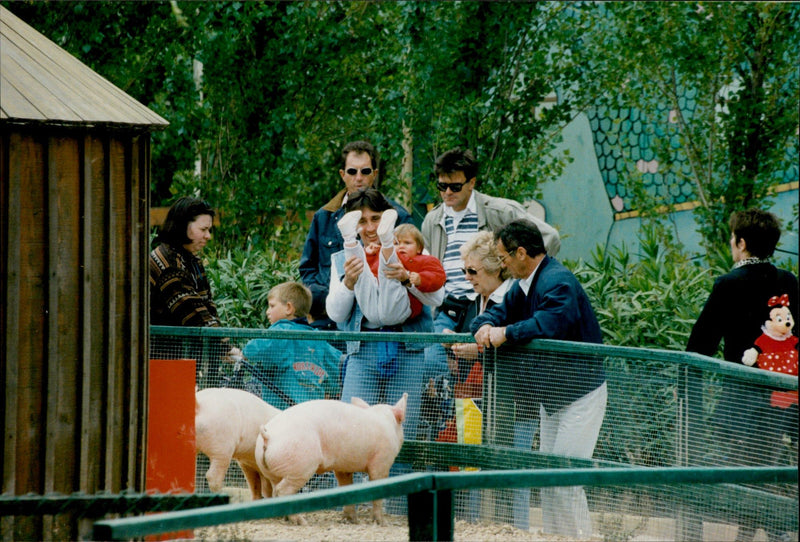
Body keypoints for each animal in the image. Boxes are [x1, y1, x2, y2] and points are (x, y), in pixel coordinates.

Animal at [255, 396, 406, 528]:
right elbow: (378, 488)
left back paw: (285, 518)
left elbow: (346, 487)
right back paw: (302, 522)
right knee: (283, 491)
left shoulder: (343, 467)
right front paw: (383, 523)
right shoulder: (382, 461)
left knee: (275, 491)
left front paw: (352, 521)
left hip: (271, 470)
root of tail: (269, 436)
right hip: (300, 464)